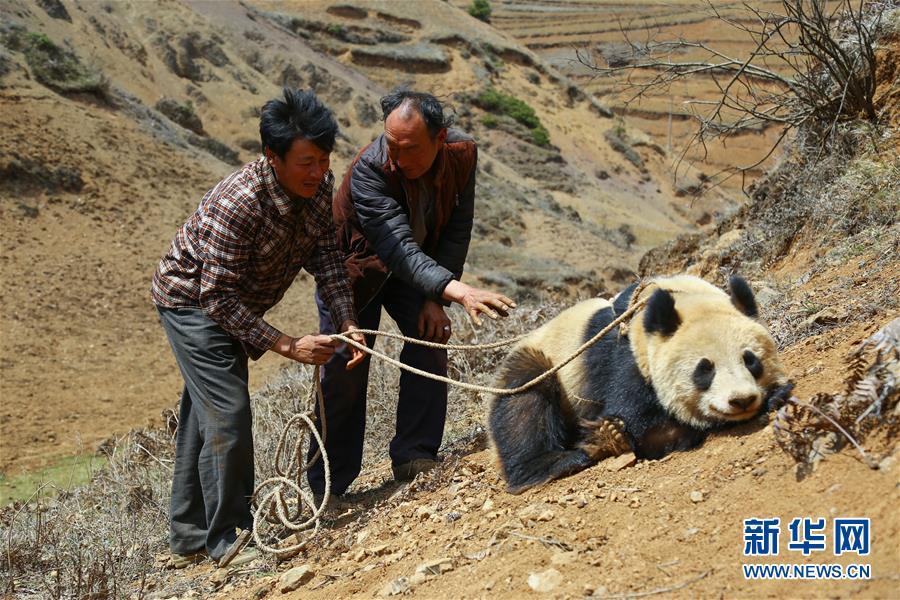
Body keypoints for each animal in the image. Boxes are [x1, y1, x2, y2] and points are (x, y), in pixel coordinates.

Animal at [488, 274, 792, 494]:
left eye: (751, 360)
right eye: (705, 369)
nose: (741, 400)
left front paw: (776, 394)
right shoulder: (626, 358)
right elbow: (643, 427)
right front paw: (612, 434)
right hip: (547, 368)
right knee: (524, 401)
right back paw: (554, 464)